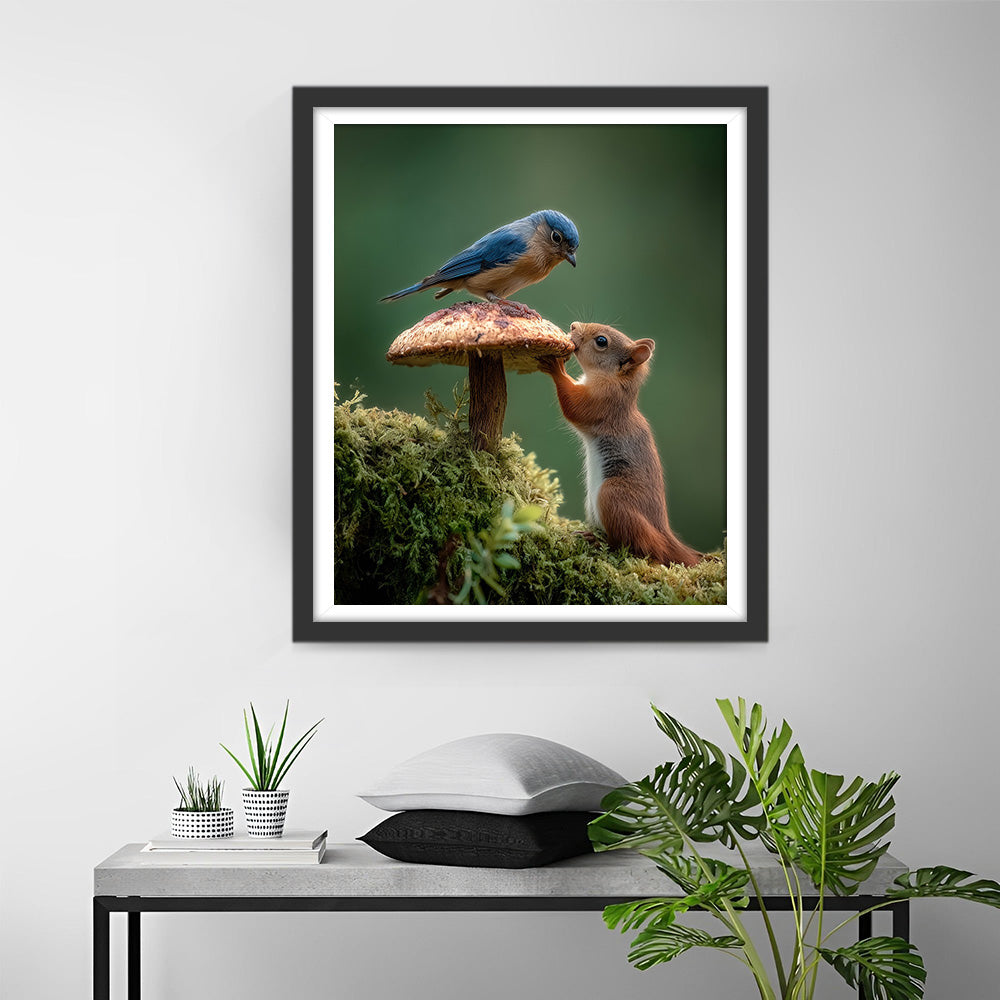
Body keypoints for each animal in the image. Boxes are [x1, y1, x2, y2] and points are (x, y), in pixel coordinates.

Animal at [538, 322, 702, 568]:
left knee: (632, 546)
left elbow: (575, 407)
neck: (615, 381)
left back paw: (596, 541)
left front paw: (555, 366)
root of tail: (664, 536)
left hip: (613, 496)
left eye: (601, 341)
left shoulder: (604, 402)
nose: (573, 326)